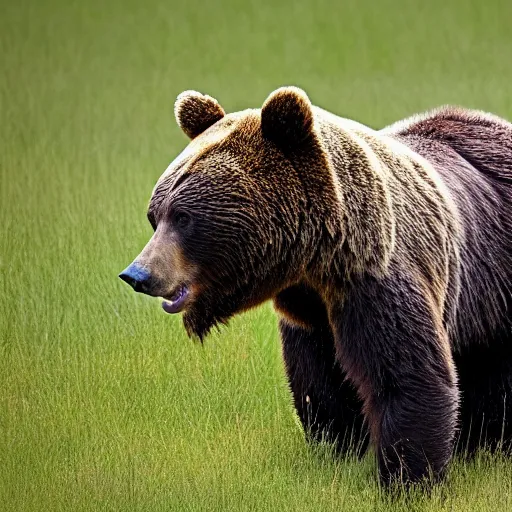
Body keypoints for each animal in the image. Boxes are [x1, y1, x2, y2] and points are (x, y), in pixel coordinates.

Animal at [120, 87, 512, 484]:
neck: (318, 261)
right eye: (155, 215)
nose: (138, 275)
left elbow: (407, 376)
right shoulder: (306, 314)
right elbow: (319, 386)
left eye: (184, 217)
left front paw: (407, 477)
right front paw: (338, 449)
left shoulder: (376, 281)